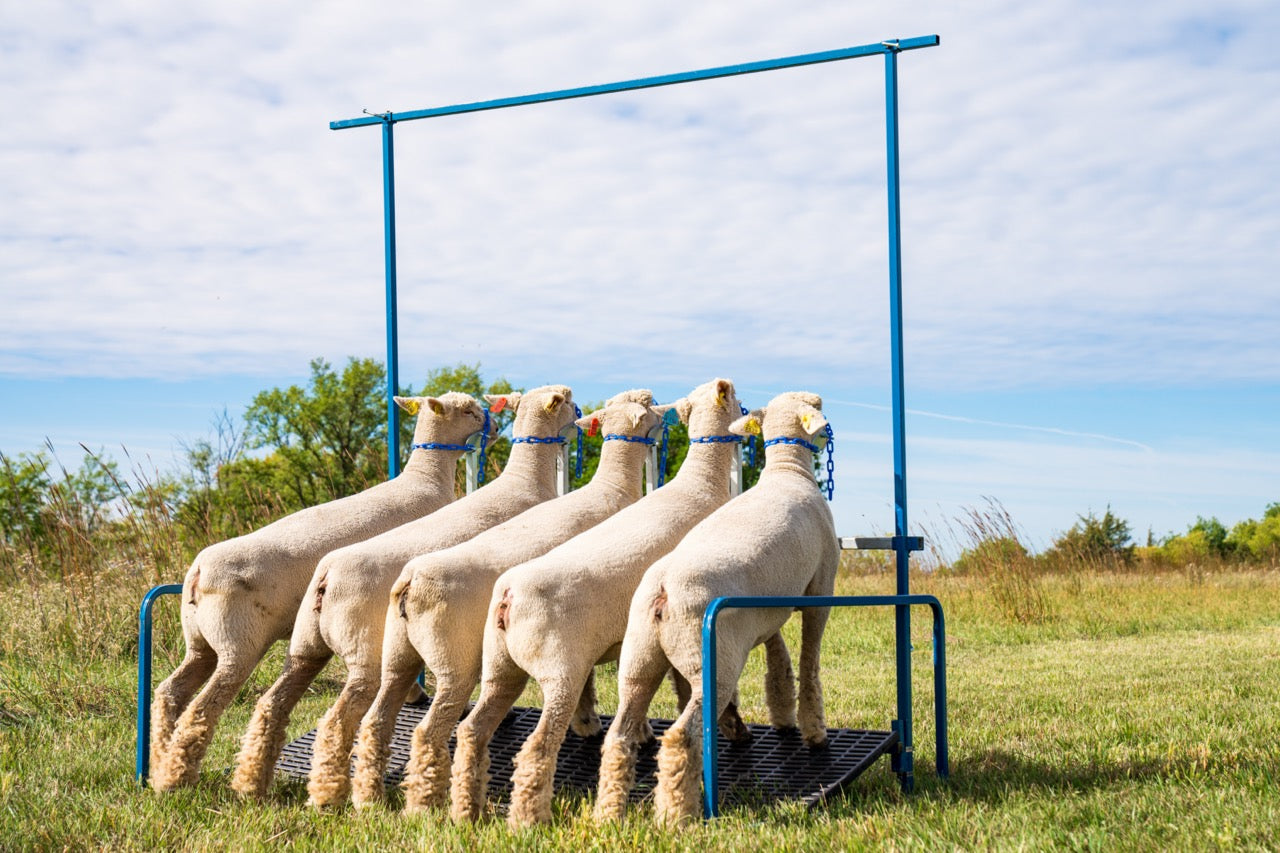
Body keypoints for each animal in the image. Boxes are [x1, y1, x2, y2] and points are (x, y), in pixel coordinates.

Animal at [148, 392, 489, 791]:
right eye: (467, 410)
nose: (492, 421)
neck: (425, 479)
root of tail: (198, 573)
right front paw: (418, 695)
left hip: (199, 641)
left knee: (170, 692)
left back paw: (159, 762)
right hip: (238, 642)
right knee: (203, 705)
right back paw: (177, 777)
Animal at [229, 385, 577, 807]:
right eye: (469, 411)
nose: (493, 428)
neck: (525, 479)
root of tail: (327, 578)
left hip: (305, 645)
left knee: (272, 703)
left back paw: (251, 784)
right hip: (366, 650)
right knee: (343, 717)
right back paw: (334, 793)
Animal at [348, 389, 666, 813]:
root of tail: (410, 582)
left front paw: (586, 721)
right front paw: (621, 727)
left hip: (398, 654)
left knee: (375, 720)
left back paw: (367, 797)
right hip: (453, 659)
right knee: (429, 729)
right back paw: (425, 803)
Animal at [449, 377, 746, 829]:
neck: (699, 484)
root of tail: (509, 596)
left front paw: (628, 728)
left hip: (500, 667)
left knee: (470, 731)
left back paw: (465, 810)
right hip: (559, 669)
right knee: (537, 746)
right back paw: (528, 819)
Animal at [594, 391, 838, 825]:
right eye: (818, 406)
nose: (830, 432)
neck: (788, 471)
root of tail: (662, 592)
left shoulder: (768, 612)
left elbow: (779, 657)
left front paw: (783, 712)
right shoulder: (819, 590)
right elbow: (809, 663)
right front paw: (814, 731)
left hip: (638, 660)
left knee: (619, 734)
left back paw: (608, 813)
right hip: (711, 666)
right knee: (681, 735)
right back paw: (676, 816)